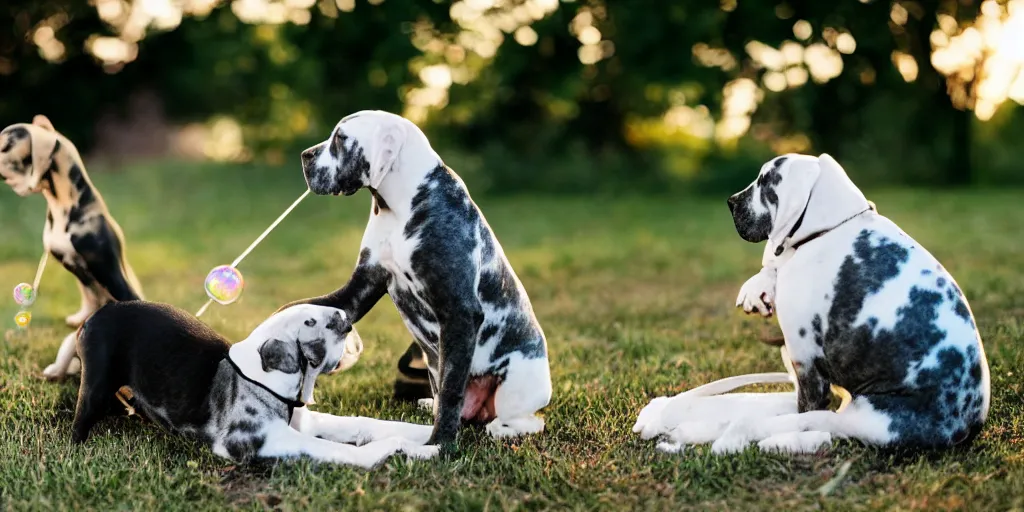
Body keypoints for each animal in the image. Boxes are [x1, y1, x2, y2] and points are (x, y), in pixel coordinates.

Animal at [71, 299, 440, 468]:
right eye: (311, 322)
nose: (346, 320)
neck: (266, 379)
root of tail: (103, 309)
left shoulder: (306, 421)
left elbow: (367, 425)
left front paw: (428, 439)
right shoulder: (262, 440)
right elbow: (340, 449)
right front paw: (395, 448)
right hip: (96, 384)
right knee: (81, 419)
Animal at [634, 153, 987, 454]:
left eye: (765, 183)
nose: (730, 202)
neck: (826, 229)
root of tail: (966, 425)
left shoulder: (805, 360)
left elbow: (802, 411)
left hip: (863, 416)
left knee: (809, 426)